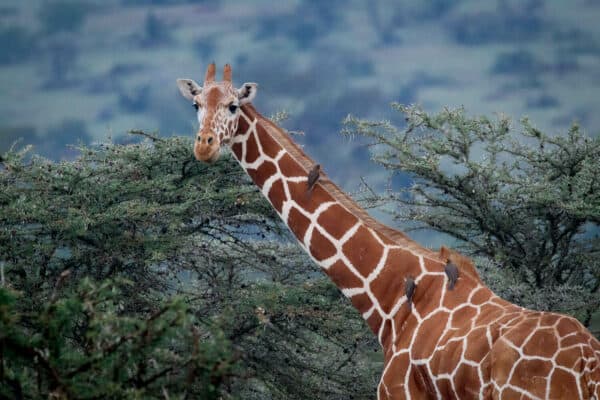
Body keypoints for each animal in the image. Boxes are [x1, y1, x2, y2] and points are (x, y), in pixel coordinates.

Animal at [177, 64, 600, 398]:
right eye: (196, 105)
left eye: (233, 106)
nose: (205, 146)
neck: (389, 295)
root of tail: (588, 367)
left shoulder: (397, 391)